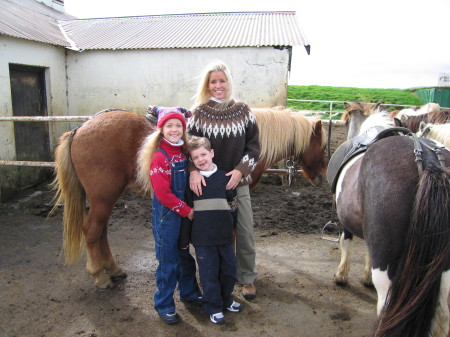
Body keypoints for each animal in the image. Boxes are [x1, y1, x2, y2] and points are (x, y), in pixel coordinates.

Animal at [52, 107, 326, 288]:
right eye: (323, 146)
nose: (323, 177)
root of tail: (80, 128)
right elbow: (232, 235)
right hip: (103, 196)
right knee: (91, 230)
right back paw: (99, 275)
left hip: (107, 197)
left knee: (101, 231)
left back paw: (114, 269)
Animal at [330, 102, 450, 336]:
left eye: (346, 121)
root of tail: (429, 162)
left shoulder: (347, 222)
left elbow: (346, 244)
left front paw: (341, 276)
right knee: (444, 315)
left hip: (387, 270)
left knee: (385, 307)